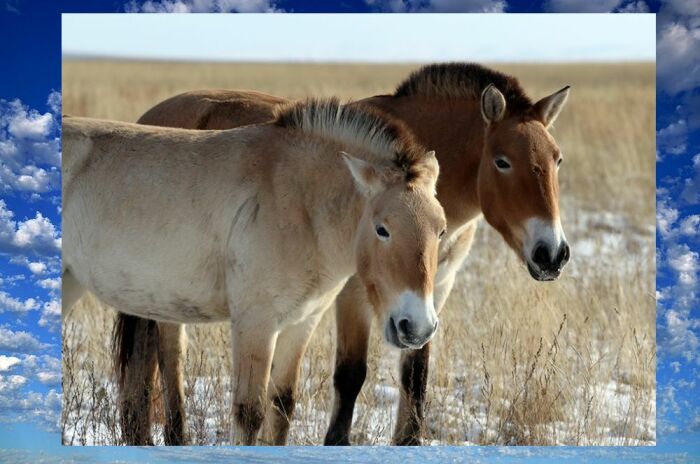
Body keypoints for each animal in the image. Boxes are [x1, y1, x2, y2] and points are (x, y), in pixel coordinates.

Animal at [61, 99, 442, 448]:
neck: (300, 201)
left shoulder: (302, 323)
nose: (417, 327)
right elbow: (249, 412)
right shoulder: (255, 322)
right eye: (382, 229)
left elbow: (282, 406)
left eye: (440, 230)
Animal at [117, 62, 572, 446]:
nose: (552, 254)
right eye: (502, 161)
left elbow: (416, 376)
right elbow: (351, 375)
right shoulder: (354, 293)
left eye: (557, 160)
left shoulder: (434, 289)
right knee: (171, 357)